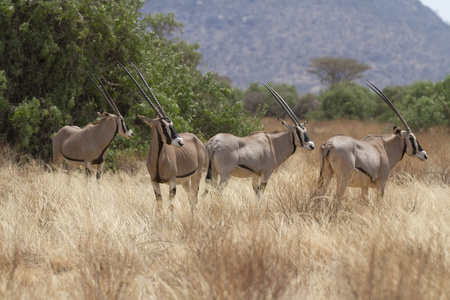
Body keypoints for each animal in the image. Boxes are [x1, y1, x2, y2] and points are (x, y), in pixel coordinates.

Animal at [118, 61, 205, 213]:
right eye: (163, 125)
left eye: (171, 123)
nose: (180, 142)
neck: (158, 159)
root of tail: (197, 139)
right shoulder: (154, 182)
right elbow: (159, 205)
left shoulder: (172, 181)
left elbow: (171, 206)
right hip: (185, 181)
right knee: (190, 198)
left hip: (197, 175)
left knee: (194, 198)